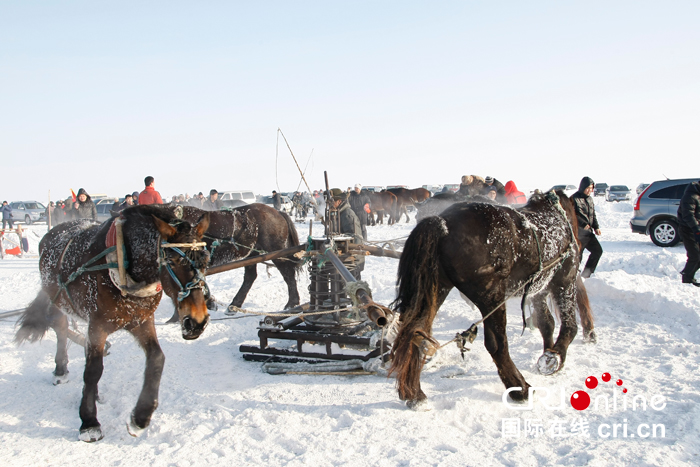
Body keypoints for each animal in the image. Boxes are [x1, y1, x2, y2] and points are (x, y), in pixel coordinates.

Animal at [14, 207, 211, 444]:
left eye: (206, 260)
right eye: (172, 261)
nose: (197, 321)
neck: (124, 265)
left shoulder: (142, 321)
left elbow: (157, 359)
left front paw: (140, 417)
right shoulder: (97, 325)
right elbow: (93, 370)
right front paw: (89, 423)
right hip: (58, 301)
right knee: (60, 328)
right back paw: (61, 370)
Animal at [392, 192, 592, 408]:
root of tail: (443, 223)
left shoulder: (539, 288)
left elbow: (546, 323)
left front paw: (549, 353)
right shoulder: (564, 281)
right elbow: (569, 326)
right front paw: (555, 355)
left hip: (436, 290)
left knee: (415, 333)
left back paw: (414, 394)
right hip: (492, 297)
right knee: (497, 344)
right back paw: (519, 388)